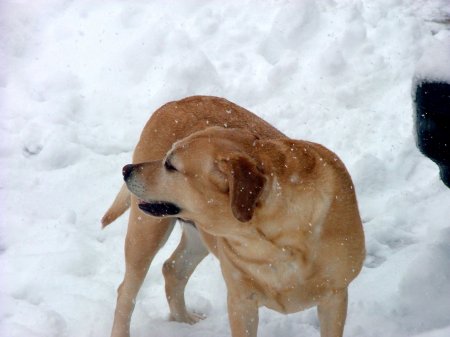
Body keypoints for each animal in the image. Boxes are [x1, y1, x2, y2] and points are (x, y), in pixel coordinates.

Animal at [103, 95, 366, 336]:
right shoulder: (241, 301)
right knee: (126, 291)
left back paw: (185, 320)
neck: (273, 243)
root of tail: (173, 102)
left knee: (173, 269)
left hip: (198, 235)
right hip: (146, 232)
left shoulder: (335, 296)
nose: (126, 170)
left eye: (170, 165)